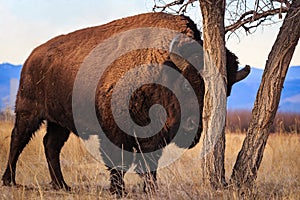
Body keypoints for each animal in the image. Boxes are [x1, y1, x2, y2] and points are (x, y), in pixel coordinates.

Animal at [1, 12, 251, 195]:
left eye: (226, 93)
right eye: (184, 84)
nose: (193, 128)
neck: (160, 69)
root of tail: (32, 56)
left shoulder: (152, 137)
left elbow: (149, 163)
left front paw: (150, 189)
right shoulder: (114, 130)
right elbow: (118, 160)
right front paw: (118, 190)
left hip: (59, 122)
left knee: (50, 145)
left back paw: (62, 185)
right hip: (28, 111)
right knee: (18, 140)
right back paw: (9, 180)